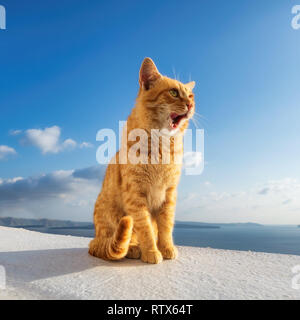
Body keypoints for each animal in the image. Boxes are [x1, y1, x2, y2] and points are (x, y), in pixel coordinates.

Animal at [88, 58, 196, 264]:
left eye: (191, 96)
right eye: (173, 92)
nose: (190, 105)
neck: (161, 146)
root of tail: (95, 240)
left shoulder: (169, 194)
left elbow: (165, 227)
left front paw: (167, 248)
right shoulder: (135, 196)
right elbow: (145, 228)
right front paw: (152, 251)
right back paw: (133, 248)